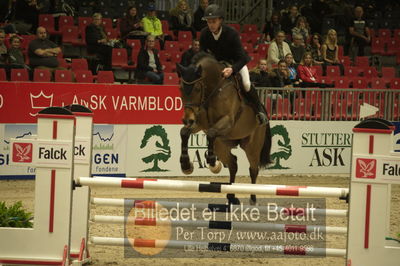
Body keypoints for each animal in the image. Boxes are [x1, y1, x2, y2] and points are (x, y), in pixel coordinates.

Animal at [177, 53, 274, 205]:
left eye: (197, 89)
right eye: (181, 88)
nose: (187, 120)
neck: (213, 89)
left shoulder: (227, 121)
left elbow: (211, 133)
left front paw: (211, 161)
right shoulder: (199, 123)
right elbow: (184, 132)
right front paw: (186, 165)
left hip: (252, 146)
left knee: (253, 169)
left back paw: (253, 198)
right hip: (221, 145)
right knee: (233, 164)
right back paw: (231, 196)